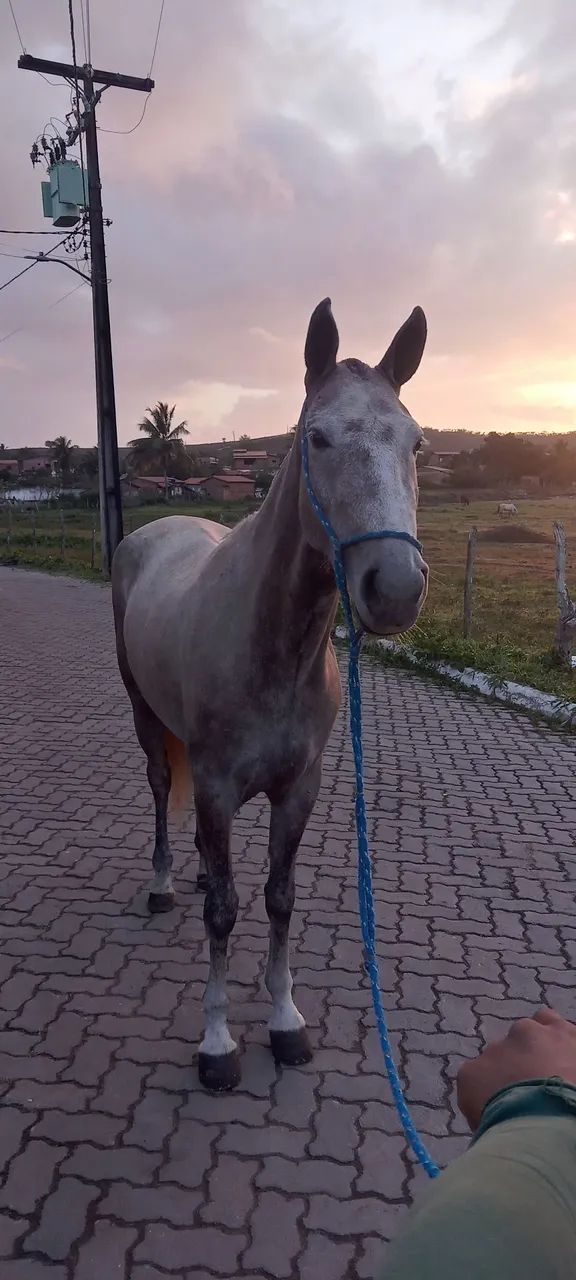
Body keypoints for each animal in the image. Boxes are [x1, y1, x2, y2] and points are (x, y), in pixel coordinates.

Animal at [112, 298, 429, 1091]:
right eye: (317, 437)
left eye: (416, 442)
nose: (395, 588)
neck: (273, 649)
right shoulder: (220, 785)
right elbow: (226, 913)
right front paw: (217, 1041)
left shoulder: (299, 790)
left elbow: (278, 898)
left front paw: (285, 1020)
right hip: (144, 715)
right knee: (161, 791)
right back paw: (166, 883)